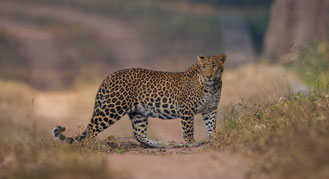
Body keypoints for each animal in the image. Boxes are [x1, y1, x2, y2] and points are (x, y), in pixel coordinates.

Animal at [52, 53, 226, 148]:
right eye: (204, 66)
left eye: (214, 66)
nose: (209, 75)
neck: (212, 86)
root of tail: (109, 76)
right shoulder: (187, 109)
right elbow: (188, 128)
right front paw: (191, 143)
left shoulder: (210, 109)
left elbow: (211, 126)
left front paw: (215, 138)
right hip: (114, 107)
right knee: (91, 126)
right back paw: (96, 145)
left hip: (138, 112)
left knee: (138, 133)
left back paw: (156, 144)